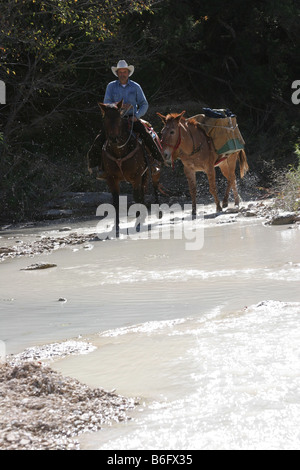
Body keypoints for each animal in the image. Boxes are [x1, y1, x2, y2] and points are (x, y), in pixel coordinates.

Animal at [99, 100, 162, 231]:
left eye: (119, 118)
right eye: (105, 119)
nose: (113, 138)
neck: (119, 151)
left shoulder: (136, 176)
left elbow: (137, 197)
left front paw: (138, 222)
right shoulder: (111, 178)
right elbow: (116, 200)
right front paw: (116, 225)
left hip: (153, 173)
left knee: (154, 187)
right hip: (144, 175)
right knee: (144, 191)